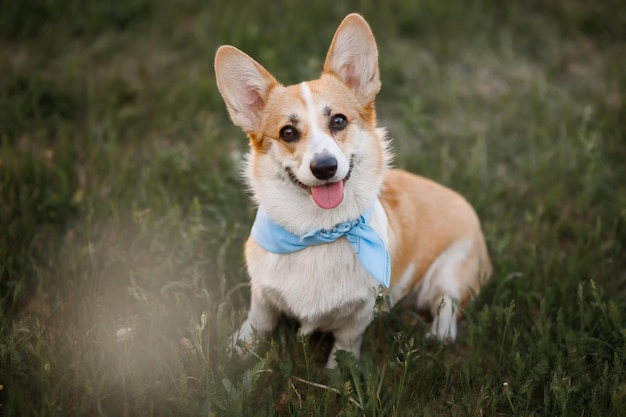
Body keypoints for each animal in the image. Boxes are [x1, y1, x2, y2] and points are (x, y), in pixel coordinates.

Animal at [212, 13, 490, 368]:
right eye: (288, 132)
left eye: (339, 121)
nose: (325, 167)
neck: (319, 233)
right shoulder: (261, 294)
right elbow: (258, 321)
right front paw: (238, 348)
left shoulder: (359, 314)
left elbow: (345, 344)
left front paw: (337, 370)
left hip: (451, 272)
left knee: (447, 306)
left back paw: (438, 337)